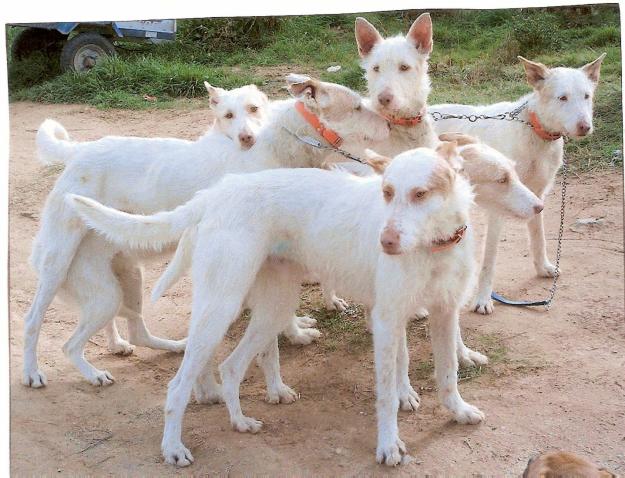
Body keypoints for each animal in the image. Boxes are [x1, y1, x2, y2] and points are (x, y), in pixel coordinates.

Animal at [432, 54, 604, 314]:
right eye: (562, 98)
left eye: (586, 96)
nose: (585, 127)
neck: (534, 132)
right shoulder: (497, 209)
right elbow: (489, 260)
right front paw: (483, 299)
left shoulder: (536, 196)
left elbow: (538, 238)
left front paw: (543, 268)